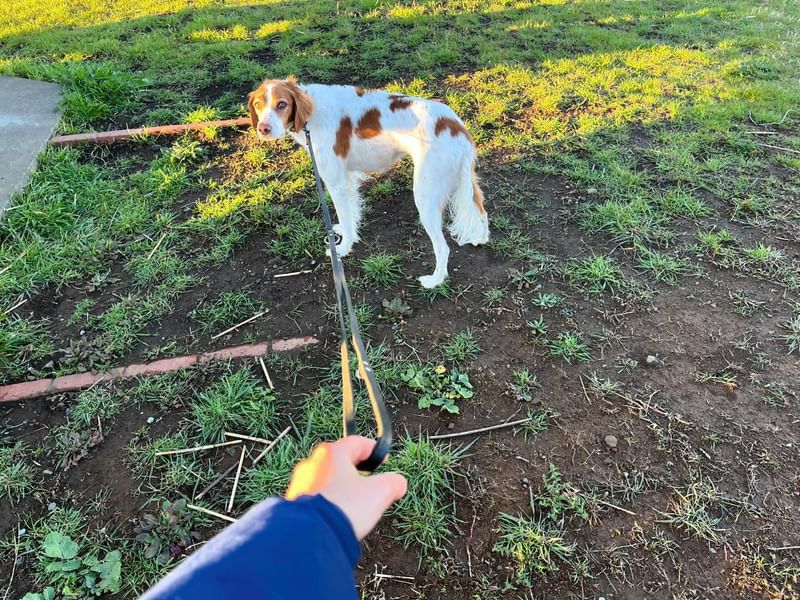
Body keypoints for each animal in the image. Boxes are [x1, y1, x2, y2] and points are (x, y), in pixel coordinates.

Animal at [248, 77, 489, 288]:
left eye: (282, 104)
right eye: (258, 105)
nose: (263, 129)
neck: (313, 113)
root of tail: (456, 127)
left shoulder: (336, 182)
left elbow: (346, 217)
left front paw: (342, 248)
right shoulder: (347, 178)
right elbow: (350, 215)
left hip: (425, 195)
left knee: (443, 248)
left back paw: (434, 280)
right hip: (464, 183)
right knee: (482, 211)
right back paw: (480, 238)